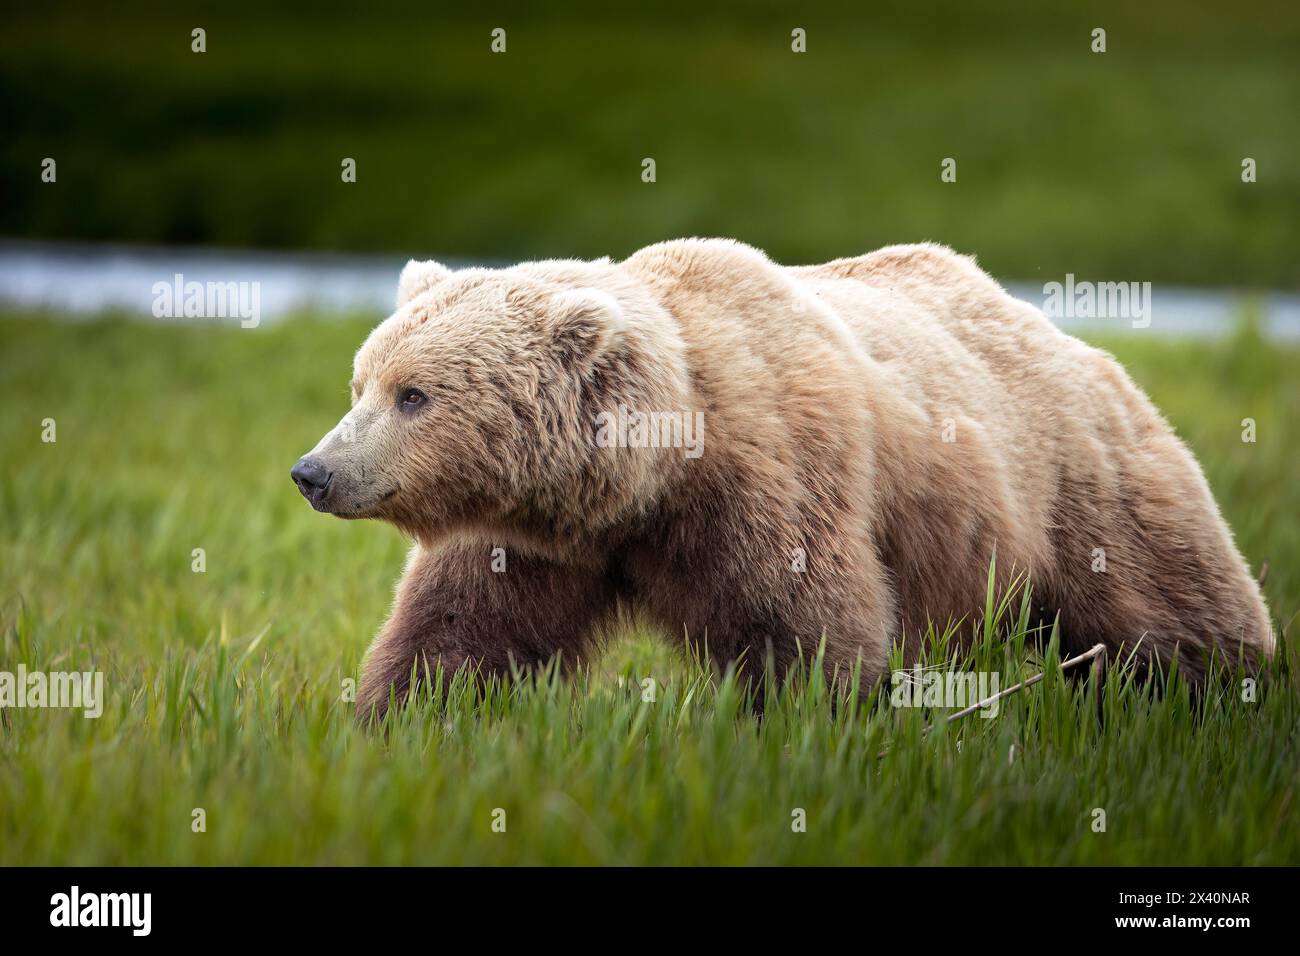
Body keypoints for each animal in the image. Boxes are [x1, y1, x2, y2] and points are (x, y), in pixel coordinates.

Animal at [289, 238, 1274, 717]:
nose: (314, 471)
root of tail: (1058, 329)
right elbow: (463, 634)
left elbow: (799, 626)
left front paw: (800, 727)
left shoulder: (772, 474)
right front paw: (403, 722)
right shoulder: (529, 536)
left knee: (1168, 605)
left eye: (414, 394)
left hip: (1083, 479)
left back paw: (1230, 687)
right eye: (361, 382)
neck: (650, 482)